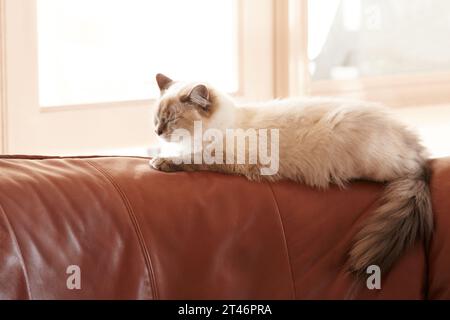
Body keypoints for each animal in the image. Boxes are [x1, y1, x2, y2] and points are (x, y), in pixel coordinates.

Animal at [150, 73, 432, 278]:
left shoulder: (221, 156)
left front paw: (159, 161)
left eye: (171, 119)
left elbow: (191, 159)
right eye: (157, 118)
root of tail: (416, 148)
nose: (157, 132)